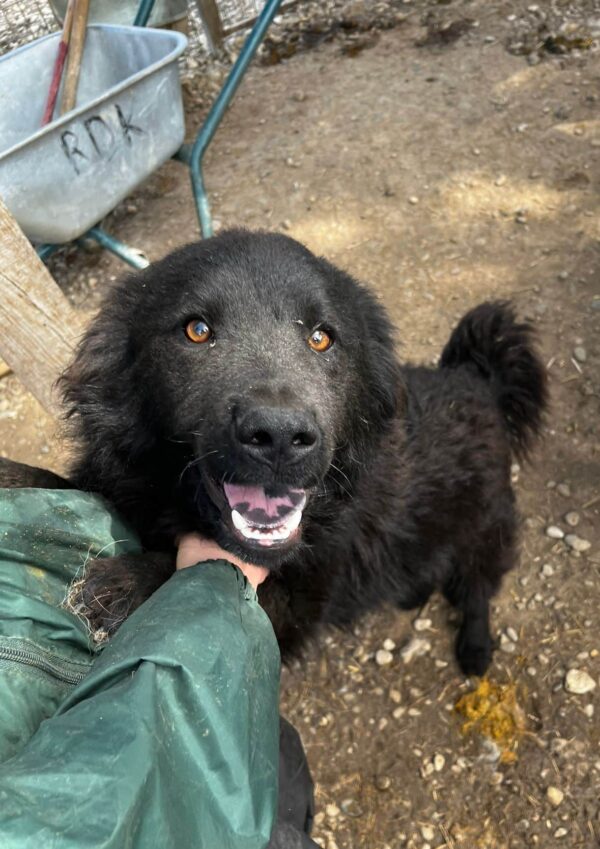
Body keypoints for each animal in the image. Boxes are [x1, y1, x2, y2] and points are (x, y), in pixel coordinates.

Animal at [5, 229, 548, 672]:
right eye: (196, 330)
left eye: (321, 337)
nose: (281, 436)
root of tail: (479, 378)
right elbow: (54, 485)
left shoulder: (294, 607)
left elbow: (201, 573)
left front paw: (127, 583)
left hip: (486, 526)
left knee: (478, 589)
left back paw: (475, 648)